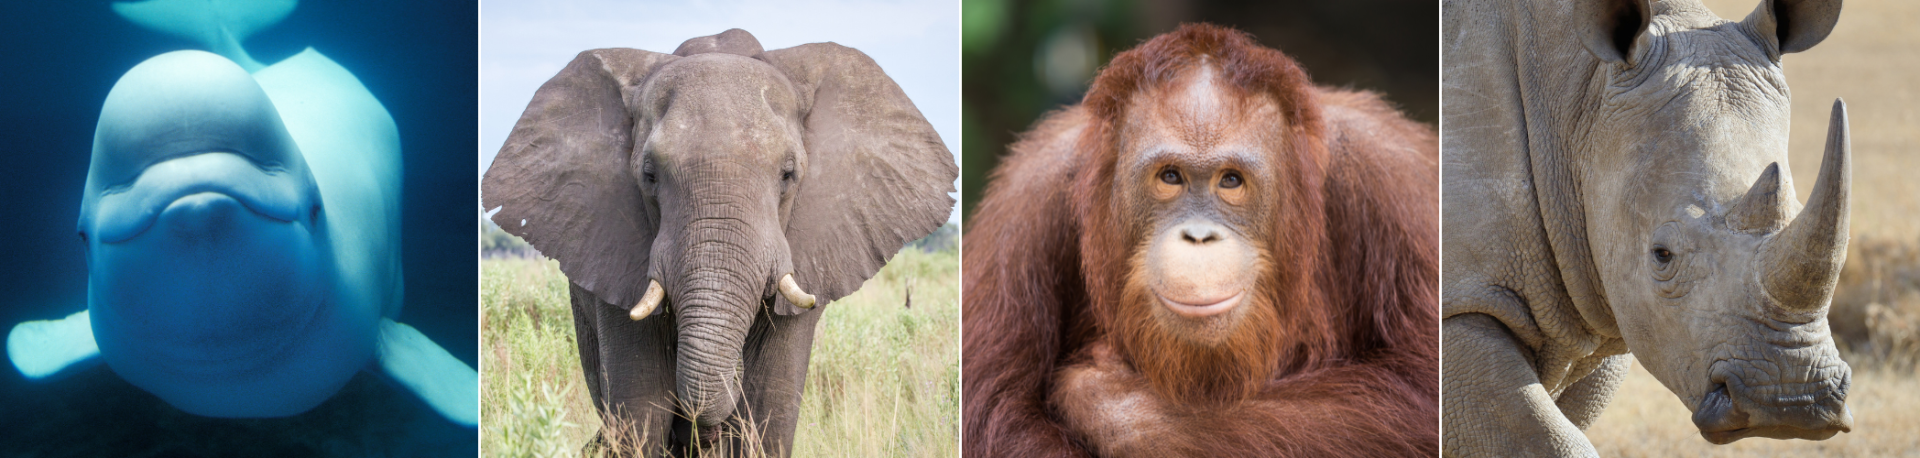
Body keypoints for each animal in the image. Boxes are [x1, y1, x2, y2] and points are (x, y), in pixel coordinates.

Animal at [1441, 0, 1853, 454]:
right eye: (1662, 254)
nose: (1790, 400)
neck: (1578, 101)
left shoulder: (1601, 303)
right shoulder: (1461, 299)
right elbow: (1550, 441)